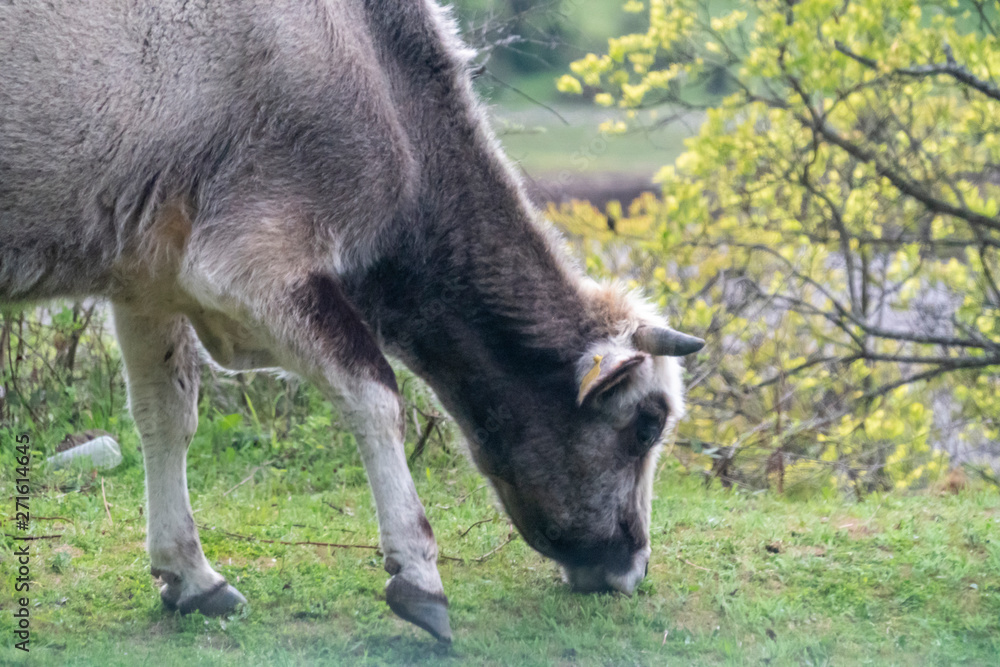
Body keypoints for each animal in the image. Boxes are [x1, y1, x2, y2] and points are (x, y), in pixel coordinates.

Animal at [0, 0, 703, 642]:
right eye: (646, 426)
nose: (632, 567)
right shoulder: (243, 260)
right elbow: (375, 393)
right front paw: (420, 576)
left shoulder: (148, 273)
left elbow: (166, 415)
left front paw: (191, 576)